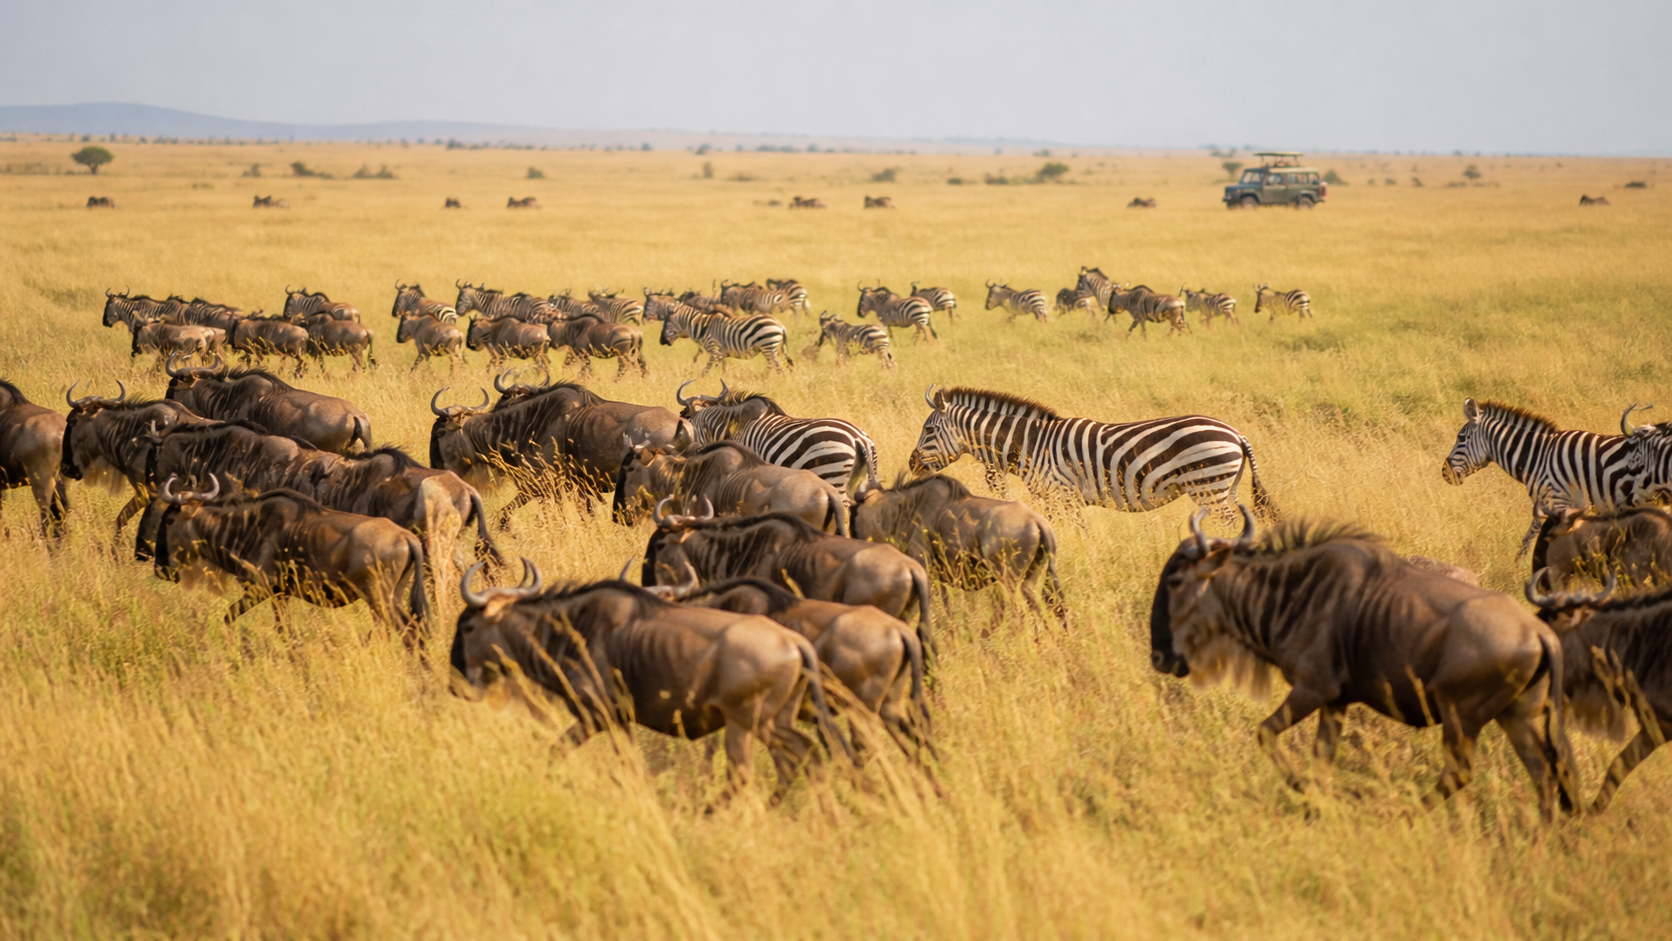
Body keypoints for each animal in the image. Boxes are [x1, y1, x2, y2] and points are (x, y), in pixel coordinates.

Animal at [659, 308, 792, 375]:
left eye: (666, 324)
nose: (661, 342)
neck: (702, 328)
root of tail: (780, 325)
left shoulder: (715, 349)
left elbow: (709, 368)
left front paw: (704, 378)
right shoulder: (721, 353)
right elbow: (723, 367)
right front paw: (723, 379)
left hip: (768, 345)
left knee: (776, 366)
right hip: (770, 348)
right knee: (774, 364)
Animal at [908, 385, 1273, 518]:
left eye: (928, 431)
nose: (911, 464)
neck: (1032, 444)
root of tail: (1236, 433)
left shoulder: (1062, 495)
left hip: (1208, 487)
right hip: (1225, 487)